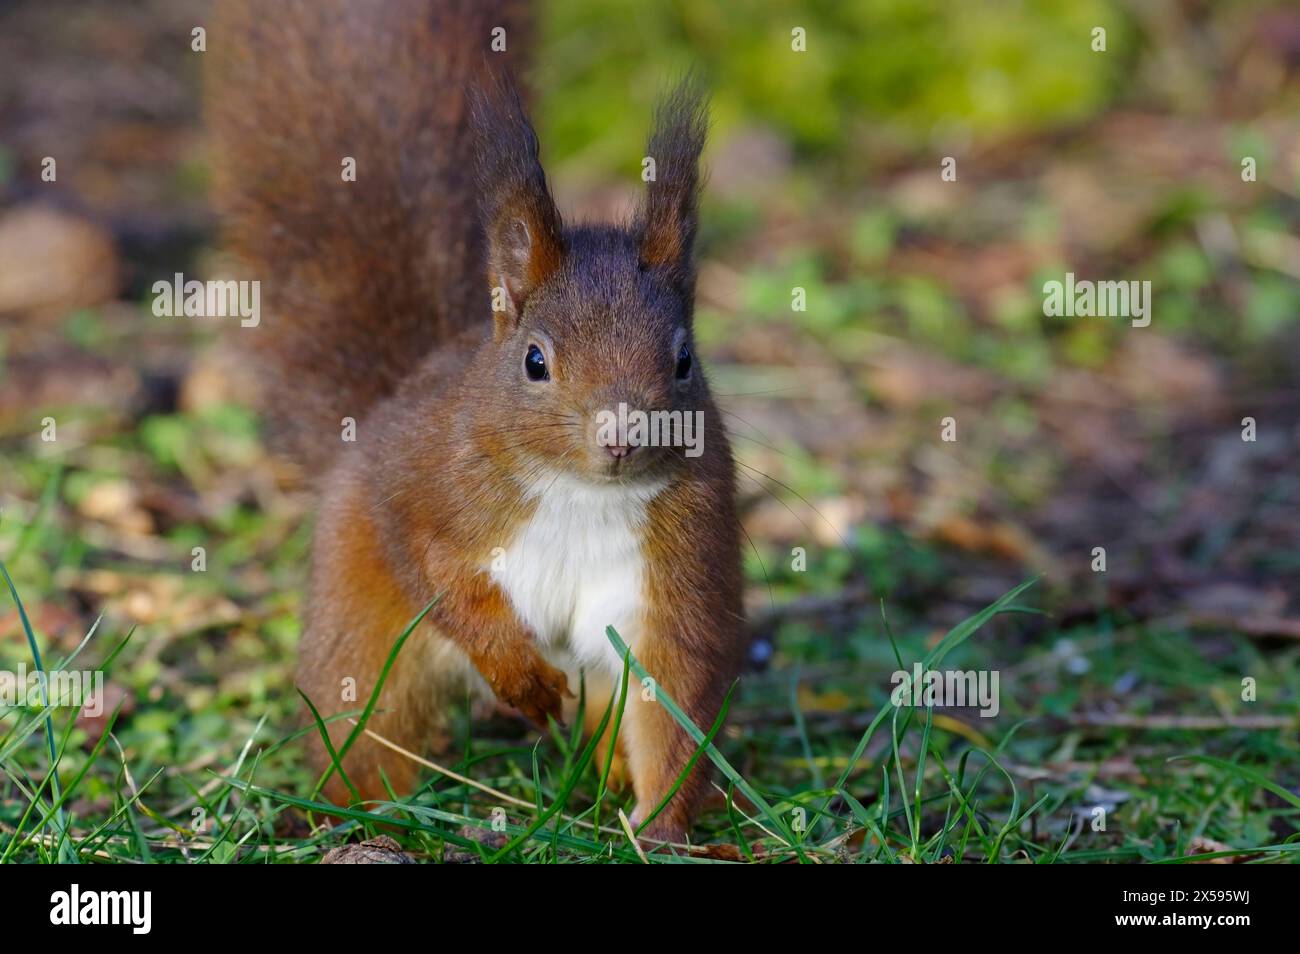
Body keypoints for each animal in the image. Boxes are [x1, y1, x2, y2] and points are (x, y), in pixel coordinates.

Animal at [208, 0, 748, 842]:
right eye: (535, 361)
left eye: (685, 358)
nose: (621, 436)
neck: (580, 494)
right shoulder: (424, 487)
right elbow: (436, 572)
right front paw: (520, 678)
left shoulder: (680, 569)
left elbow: (675, 698)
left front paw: (660, 828)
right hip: (361, 630)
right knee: (364, 723)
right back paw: (370, 819)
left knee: (606, 713)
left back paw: (602, 780)